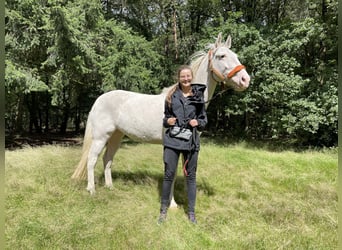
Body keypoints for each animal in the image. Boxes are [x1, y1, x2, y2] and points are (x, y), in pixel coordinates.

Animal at [72, 33, 250, 207]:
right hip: (100, 137)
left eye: (236, 55)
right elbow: (171, 173)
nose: (245, 80)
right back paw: (91, 190)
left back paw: (110, 187)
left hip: (116, 136)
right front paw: (172, 204)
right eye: (221, 56)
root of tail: (99, 99)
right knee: (91, 159)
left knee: (107, 159)